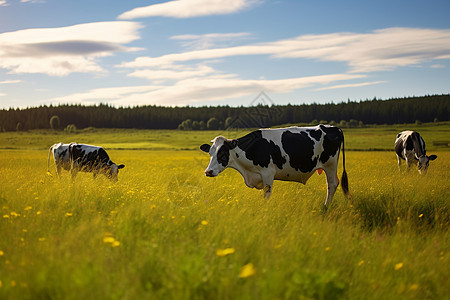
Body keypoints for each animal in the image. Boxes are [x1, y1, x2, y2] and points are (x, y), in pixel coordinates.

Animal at [199, 124, 350, 206]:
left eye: (222, 154)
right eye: (210, 152)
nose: (208, 172)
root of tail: (333, 127)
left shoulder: (268, 173)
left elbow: (266, 194)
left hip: (330, 165)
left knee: (332, 184)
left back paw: (326, 206)